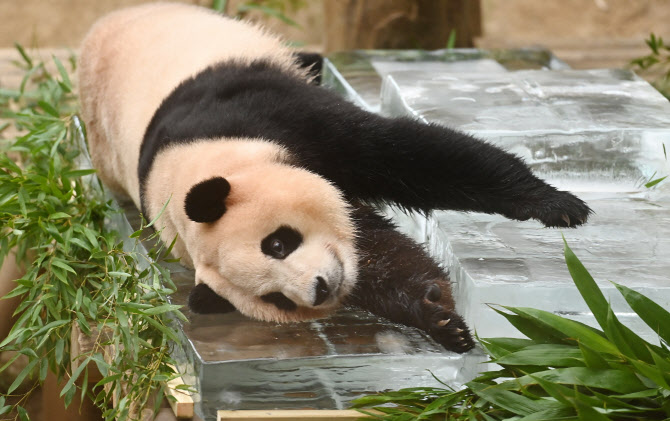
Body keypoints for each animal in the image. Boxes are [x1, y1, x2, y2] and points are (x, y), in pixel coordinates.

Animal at [80, 4, 592, 352]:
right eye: (277, 298)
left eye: (277, 243)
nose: (321, 288)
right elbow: (375, 255)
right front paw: (439, 317)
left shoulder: (261, 115)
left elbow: (410, 155)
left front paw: (556, 204)